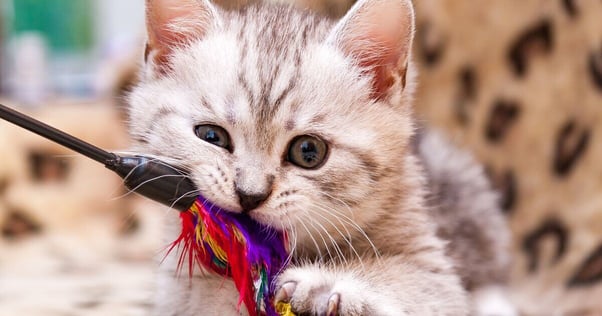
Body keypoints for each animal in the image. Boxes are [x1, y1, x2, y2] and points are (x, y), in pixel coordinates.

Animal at [126, 0, 510, 314]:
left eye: (308, 151)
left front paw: (324, 284)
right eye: (211, 136)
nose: (250, 194)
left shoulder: (434, 266)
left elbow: (422, 284)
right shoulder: (176, 287)